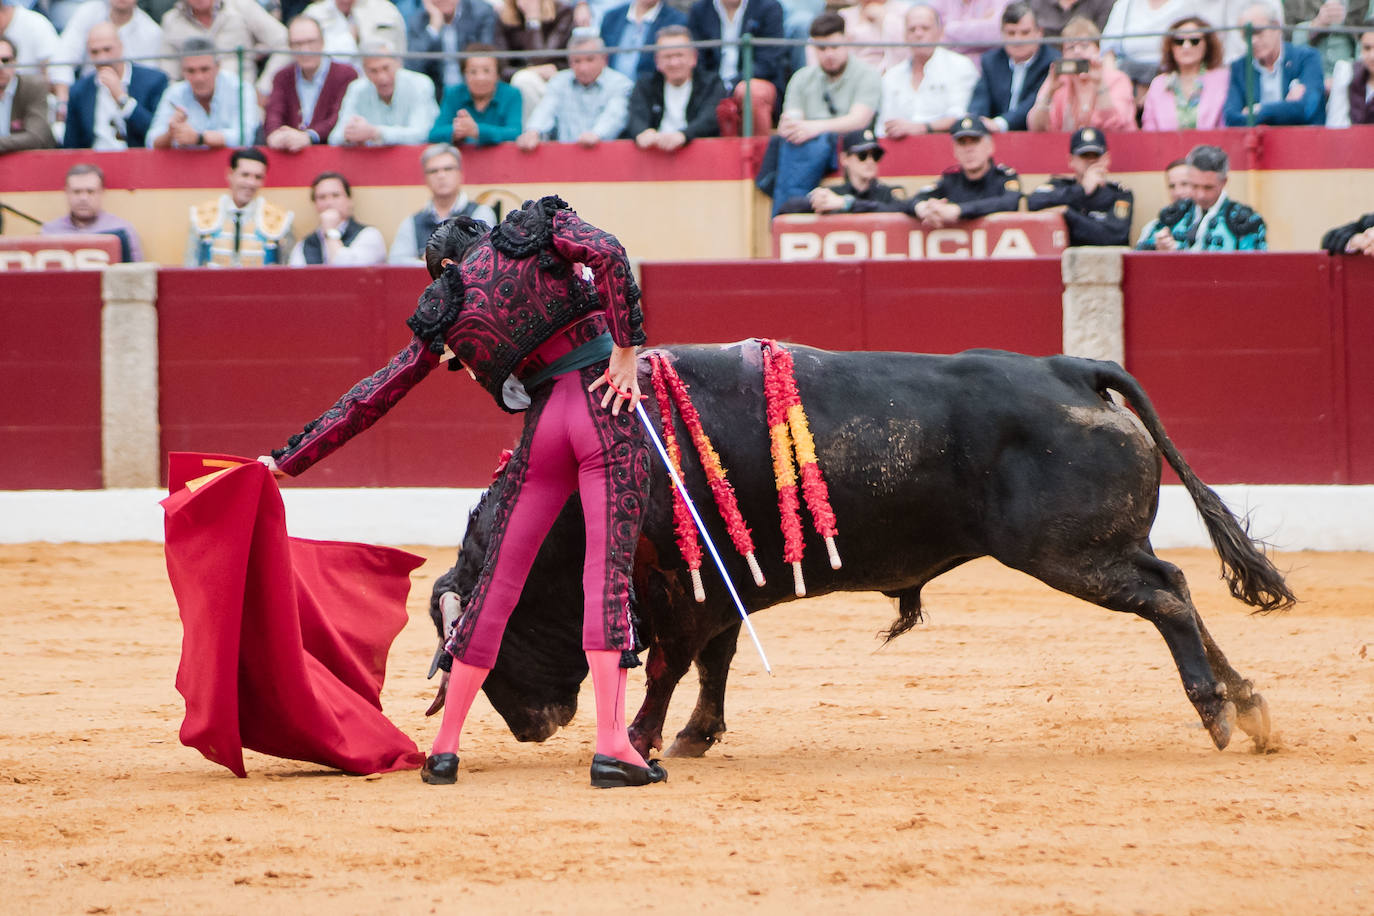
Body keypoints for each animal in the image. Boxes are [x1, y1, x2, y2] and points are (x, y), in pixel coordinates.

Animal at [423, 341, 1291, 758]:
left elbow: (672, 663)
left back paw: (1217, 711)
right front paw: (696, 736)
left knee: (1168, 597)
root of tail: (1070, 368)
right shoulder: (721, 588)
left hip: (1072, 553)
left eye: (484, 646)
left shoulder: (683, 589)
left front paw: (639, 739)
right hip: (1104, 547)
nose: (531, 729)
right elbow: (714, 663)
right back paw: (1249, 705)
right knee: (1178, 589)